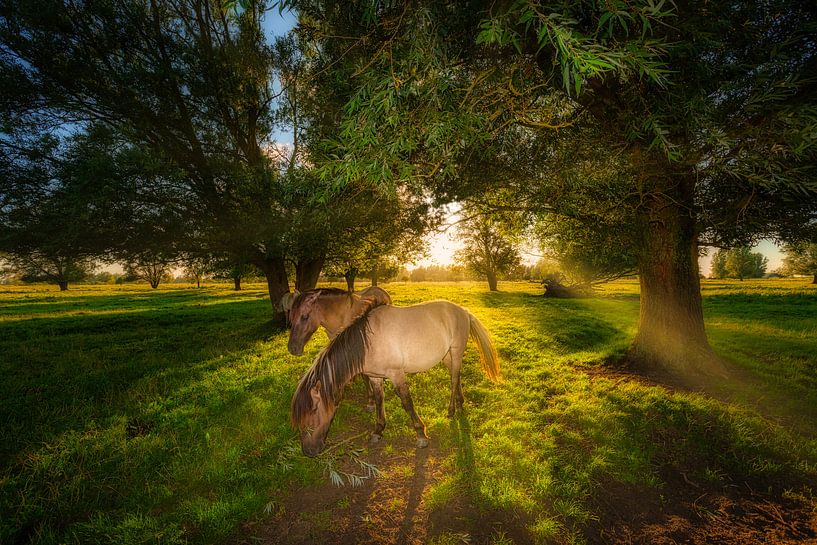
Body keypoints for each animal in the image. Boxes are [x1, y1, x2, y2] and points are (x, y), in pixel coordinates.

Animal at [290, 300, 500, 456]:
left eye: (313, 409)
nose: (308, 451)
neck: (367, 342)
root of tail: (463, 311)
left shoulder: (397, 374)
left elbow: (407, 403)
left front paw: (421, 435)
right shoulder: (375, 377)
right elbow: (378, 400)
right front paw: (378, 431)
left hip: (456, 351)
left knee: (454, 378)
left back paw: (451, 409)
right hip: (446, 356)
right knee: (455, 375)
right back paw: (460, 402)